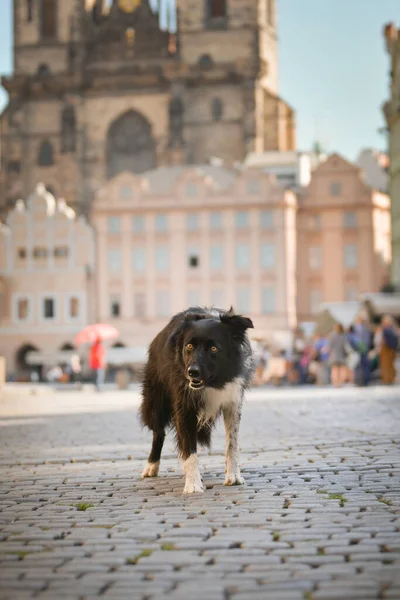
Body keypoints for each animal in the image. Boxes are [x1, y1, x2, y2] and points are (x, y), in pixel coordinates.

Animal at [139, 308, 255, 494]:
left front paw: (233, 476)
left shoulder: (232, 402)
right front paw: (193, 484)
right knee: (159, 432)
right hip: (155, 401)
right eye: (189, 346)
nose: (192, 372)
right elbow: (189, 448)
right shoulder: (184, 406)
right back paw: (151, 466)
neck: (213, 383)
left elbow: (232, 444)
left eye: (214, 348)